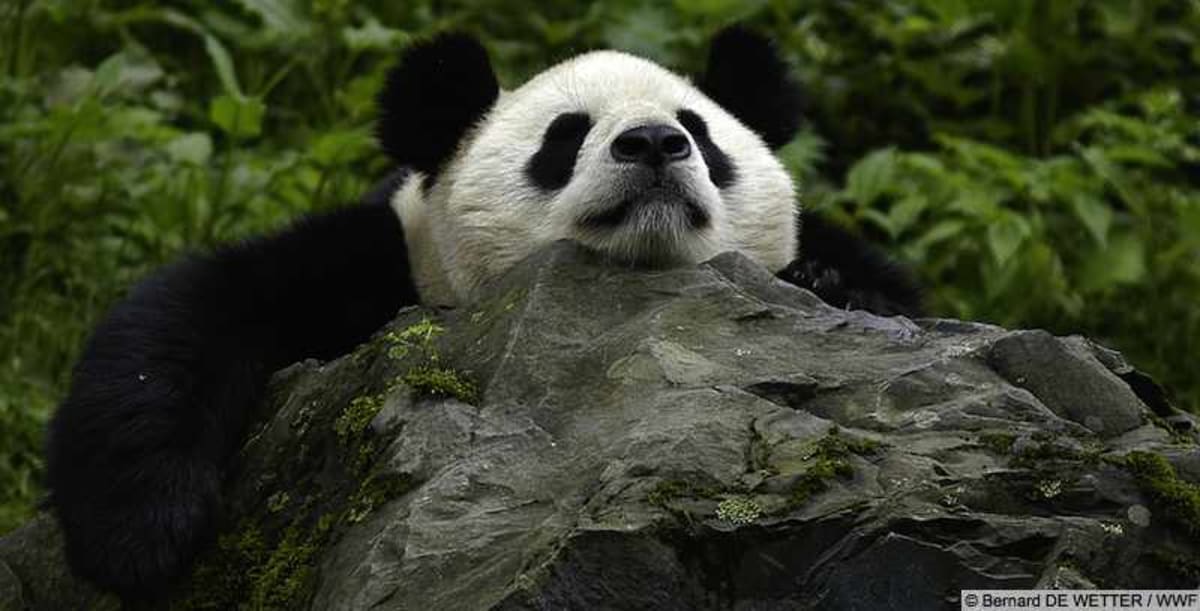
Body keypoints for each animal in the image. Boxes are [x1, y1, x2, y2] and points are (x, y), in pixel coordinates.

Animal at [45, 26, 920, 600]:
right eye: (565, 136)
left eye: (699, 132)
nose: (651, 143)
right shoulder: (387, 257)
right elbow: (195, 311)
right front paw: (144, 534)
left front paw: (833, 285)